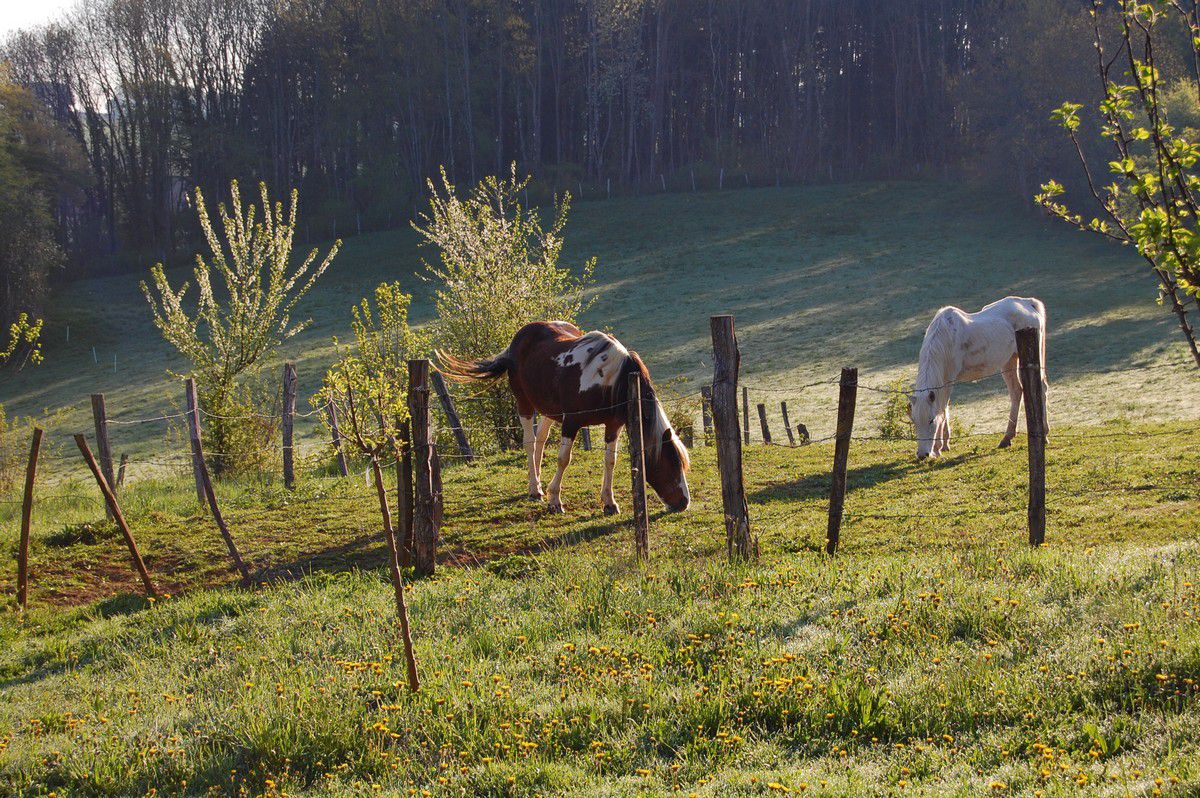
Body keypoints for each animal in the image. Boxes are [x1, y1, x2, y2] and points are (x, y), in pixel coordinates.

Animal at [438, 321, 690, 514]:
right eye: (672, 463)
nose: (684, 502)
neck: (611, 379)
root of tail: (519, 338)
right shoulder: (571, 423)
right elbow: (563, 459)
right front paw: (554, 500)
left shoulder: (613, 425)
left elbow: (610, 460)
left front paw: (609, 502)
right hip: (525, 404)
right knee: (530, 443)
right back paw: (534, 488)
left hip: (549, 410)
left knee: (540, 440)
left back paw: (538, 481)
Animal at [909, 296, 1048, 459]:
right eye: (915, 421)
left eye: (930, 420)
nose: (922, 454)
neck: (945, 338)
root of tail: (1028, 303)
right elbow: (946, 408)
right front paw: (944, 445)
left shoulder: (948, 381)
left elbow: (942, 411)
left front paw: (938, 448)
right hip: (1009, 361)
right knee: (1016, 392)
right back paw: (1006, 438)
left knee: (1041, 389)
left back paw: (1044, 435)